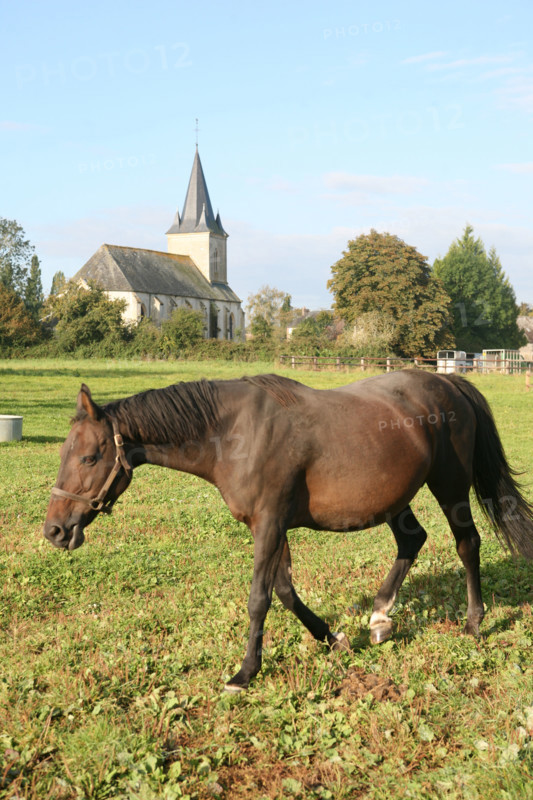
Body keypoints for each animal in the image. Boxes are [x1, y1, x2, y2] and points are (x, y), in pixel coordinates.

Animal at [43, 370, 533, 691]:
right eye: (65, 452)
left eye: (89, 457)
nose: (55, 530)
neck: (234, 433)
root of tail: (451, 385)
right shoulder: (270, 527)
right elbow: (284, 591)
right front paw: (333, 639)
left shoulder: (270, 524)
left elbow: (259, 599)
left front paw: (245, 672)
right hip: (396, 499)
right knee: (412, 541)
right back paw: (379, 617)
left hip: (450, 487)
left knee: (467, 544)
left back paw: (473, 623)